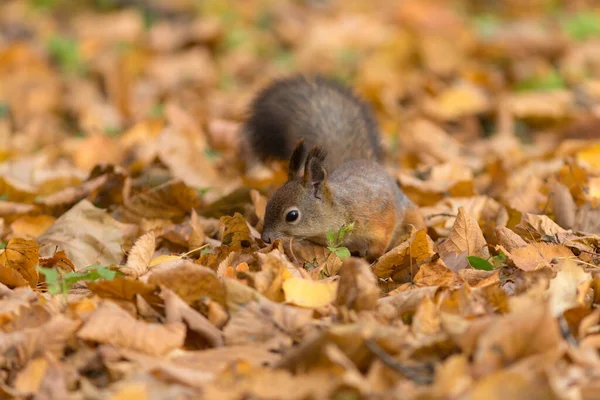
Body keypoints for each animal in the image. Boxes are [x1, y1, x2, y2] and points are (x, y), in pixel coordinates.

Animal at [241, 75, 424, 260]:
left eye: (292, 216)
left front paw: (370, 261)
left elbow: (380, 244)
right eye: (268, 202)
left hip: (410, 213)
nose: (265, 238)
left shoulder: (379, 218)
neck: (340, 209)